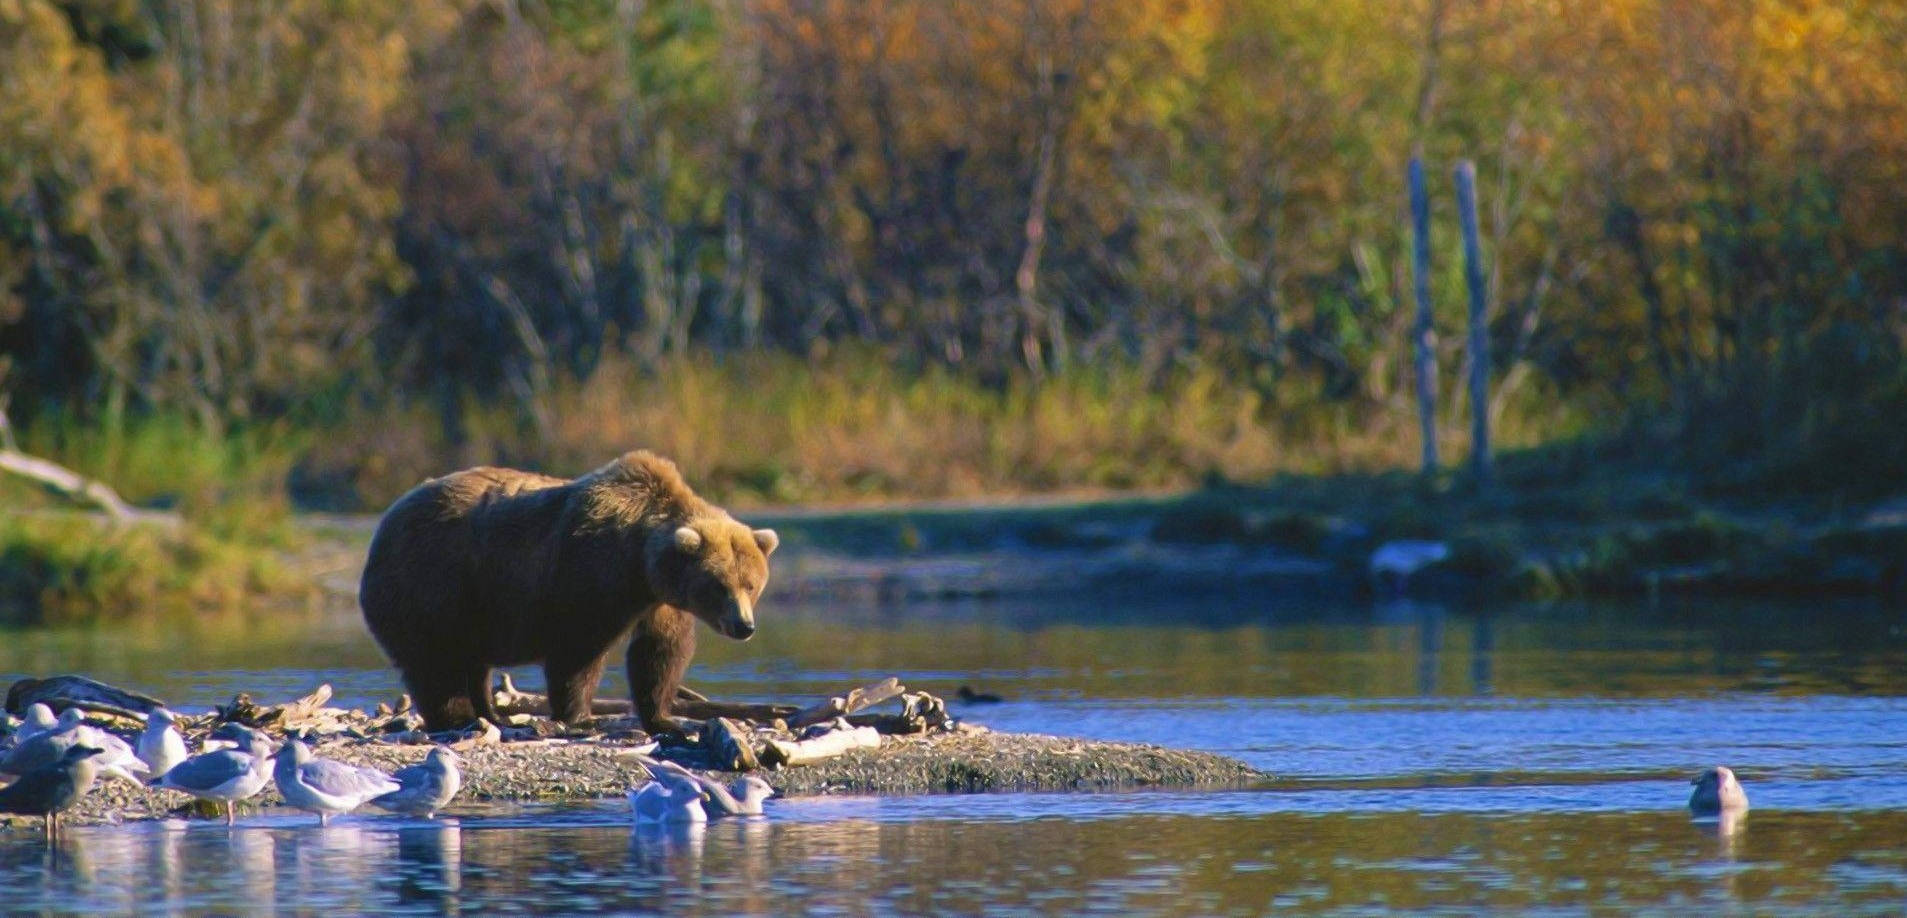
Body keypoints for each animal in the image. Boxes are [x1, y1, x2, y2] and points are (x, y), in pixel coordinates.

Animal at [358, 450, 774, 729]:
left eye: (751, 584)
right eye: (719, 585)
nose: (744, 625)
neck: (641, 561)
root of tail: (385, 522)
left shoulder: (659, 600)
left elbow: (660, 653)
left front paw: (663, 717)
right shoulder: (589, 573)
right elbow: (578, 649)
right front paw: (580, 716)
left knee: (472, 662)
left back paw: (491, 714)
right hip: (431, 580)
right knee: (437, 659)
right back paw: (459, 717)